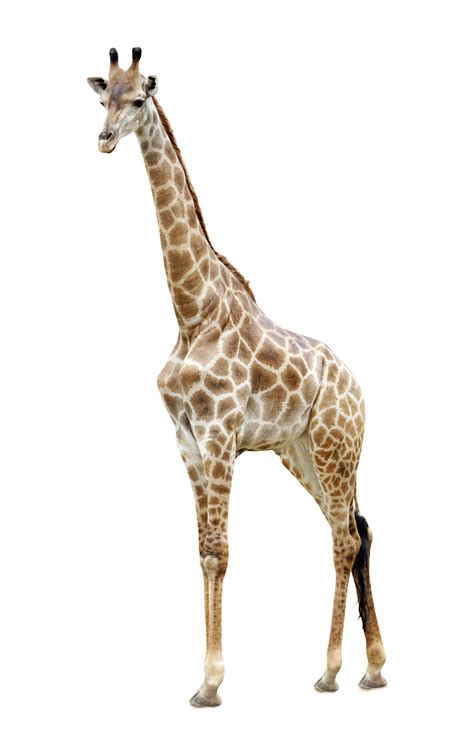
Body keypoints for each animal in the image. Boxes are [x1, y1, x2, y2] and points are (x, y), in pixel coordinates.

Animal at [88, 47, 387, 707]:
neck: (191, 310)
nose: (104, 139)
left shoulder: (221, 435)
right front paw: (203, 679)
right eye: (102, 98)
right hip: (301, 452)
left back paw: (331, 671)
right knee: (356, 528)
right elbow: (202, 552)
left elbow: (221, 553)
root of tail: (357, 386)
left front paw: (211, 682)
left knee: (345, 537)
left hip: (334, 446)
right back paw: (373, 669)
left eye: (139, 98)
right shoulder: (188, 442)